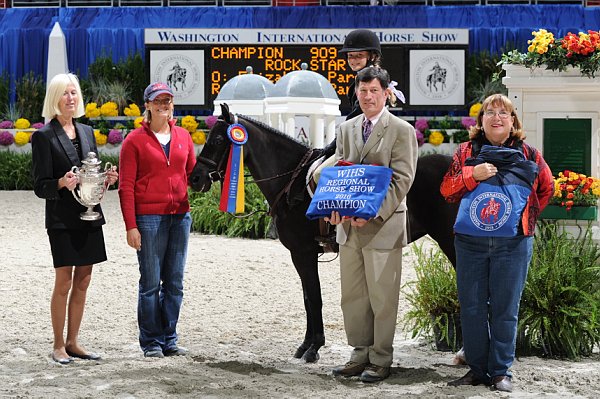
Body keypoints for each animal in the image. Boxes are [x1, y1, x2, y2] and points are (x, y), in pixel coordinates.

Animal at [190, 104, 458, 364]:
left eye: (217, 140)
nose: (194, 178)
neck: (290, 180)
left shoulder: (303, 252)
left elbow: (314, 298)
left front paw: (314, 347)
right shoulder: (301, 254)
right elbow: (307, 299)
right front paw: (306, 345)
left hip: (449, 240)